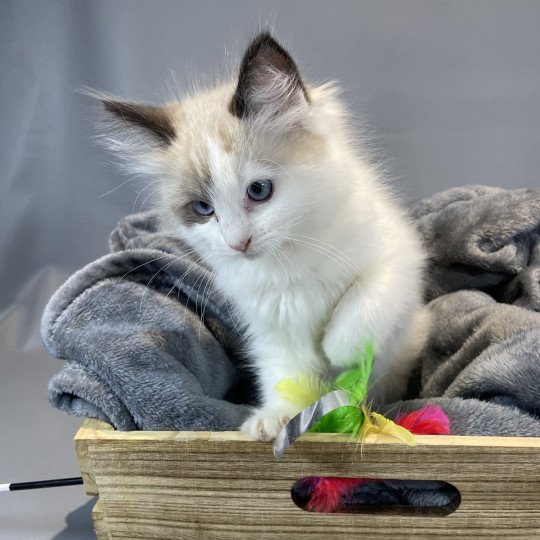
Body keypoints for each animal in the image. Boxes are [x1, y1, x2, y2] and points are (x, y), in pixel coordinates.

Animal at [96, 31, 426, 440]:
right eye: (203, 209)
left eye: (258, 191)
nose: (238, 243)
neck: (290, 255)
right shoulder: (273, 325)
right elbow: (288, 375)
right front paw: (279, 417)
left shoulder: (399, 257)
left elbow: (362, 305)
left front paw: (337, 350)